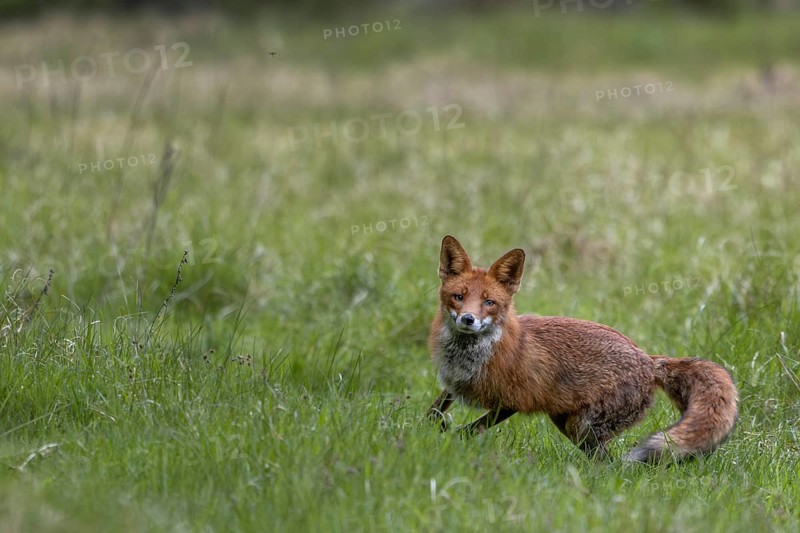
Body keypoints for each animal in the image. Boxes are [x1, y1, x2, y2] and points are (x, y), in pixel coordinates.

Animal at [427, 235, 738, 462]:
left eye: (489, 303)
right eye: (459, 297)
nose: (468, 319)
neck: (470, 358)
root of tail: (649, 360)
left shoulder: (513, 401)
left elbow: (470, 429)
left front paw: (449, 440)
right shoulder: (454, 384)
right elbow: (435, 410)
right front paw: (428, 432)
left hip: (581, 427)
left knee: (609, 465)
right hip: (567, 422)